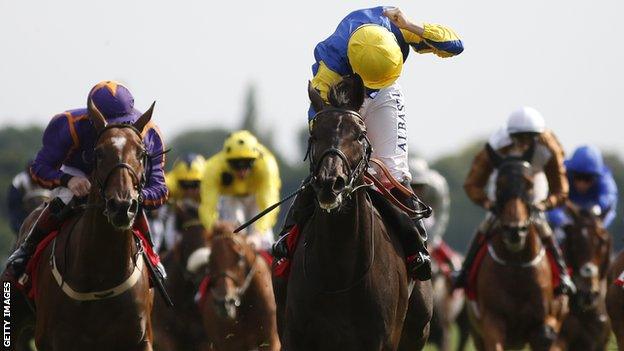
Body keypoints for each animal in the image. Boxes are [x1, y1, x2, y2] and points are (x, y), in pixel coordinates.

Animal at [280, 75, 434, 350]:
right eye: (314, 134)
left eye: (360, 135)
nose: (331, 183)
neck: (338, 272)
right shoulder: (295, 337)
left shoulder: (379, 340)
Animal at [470, 155, 568, 351]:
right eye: (499, 185)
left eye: (529, 184)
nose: (515, 230)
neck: (517, 266)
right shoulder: (492, 321)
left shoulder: (543, 320)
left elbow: (545, 331)